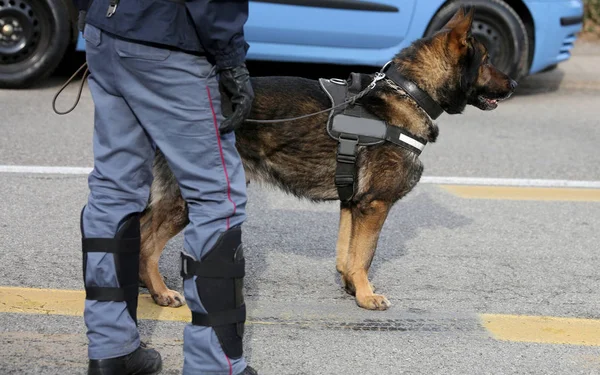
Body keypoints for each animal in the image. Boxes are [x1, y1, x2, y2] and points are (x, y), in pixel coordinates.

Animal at [138, 8, 516, 312]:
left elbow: (348, 255)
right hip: (190, 200)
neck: (410, 91)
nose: (513, 84)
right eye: (486, 61)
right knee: (146, 244)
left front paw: (353, 287)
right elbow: (365, 255)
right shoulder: (374, 205)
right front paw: (366, 296)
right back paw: (160, 292)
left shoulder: (352, 204)